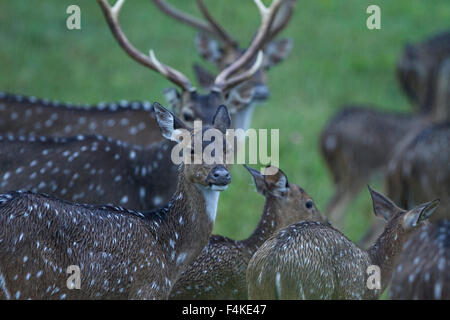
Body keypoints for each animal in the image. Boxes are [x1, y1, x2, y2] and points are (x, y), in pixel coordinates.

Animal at [0, 103, 232, 300]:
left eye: (227, 148)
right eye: (191, 150)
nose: (220, 174)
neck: (169, 252)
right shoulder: (147, 289)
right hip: (26, 284)